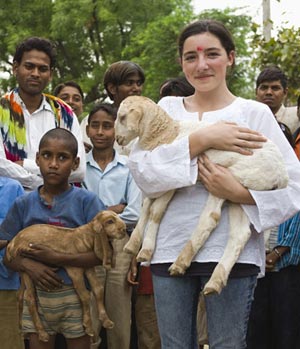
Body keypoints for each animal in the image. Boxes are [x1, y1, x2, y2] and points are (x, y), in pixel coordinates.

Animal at [115, 94, 288, 294]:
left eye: (122, 117)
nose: (117, 139)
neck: (166, 134)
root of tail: (281, 176)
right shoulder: (157, 182)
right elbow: (146, 207)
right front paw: (132, 245)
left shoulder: (171, 181)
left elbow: (155, 211)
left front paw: (145, 250)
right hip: (243, 194)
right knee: (239, 234)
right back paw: (215, 281)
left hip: (228, 180)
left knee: (210, 218)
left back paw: (181, 262)